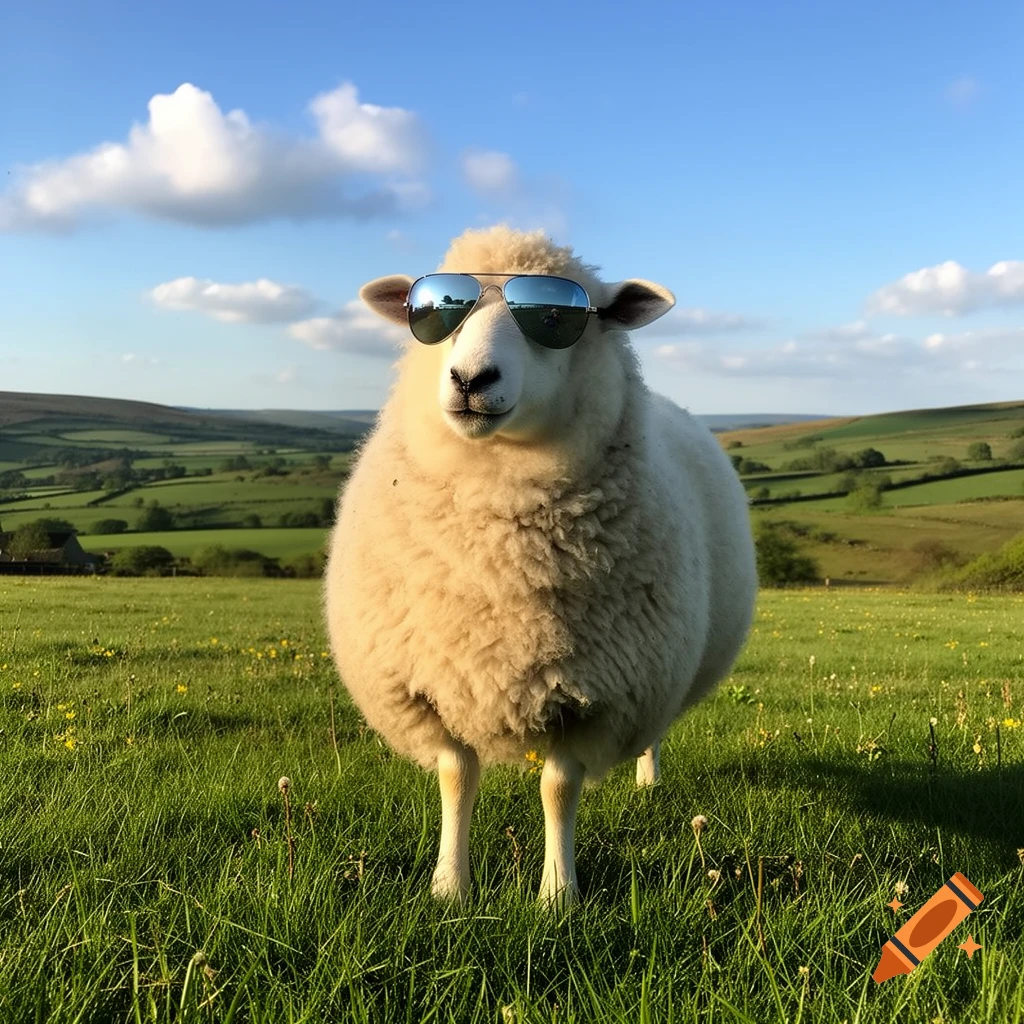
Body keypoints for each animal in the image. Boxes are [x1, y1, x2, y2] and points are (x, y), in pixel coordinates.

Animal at [324, 225, 757, 907]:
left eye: (556, 319)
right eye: (435, 313)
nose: (470, 378)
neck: (499, 557)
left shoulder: (599, 699)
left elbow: (559, 788)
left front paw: (558, 894)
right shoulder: (431, 684)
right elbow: (455, 778)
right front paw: (449, 887)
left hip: (659, 673)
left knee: (653, 734)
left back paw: (647, 781)